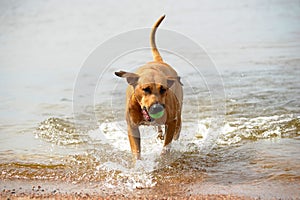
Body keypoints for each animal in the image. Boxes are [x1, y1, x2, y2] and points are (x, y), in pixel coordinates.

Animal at [115, 14, 183, 160]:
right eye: (145, 89)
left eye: (163, 89)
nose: (157, 107)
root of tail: (160, 61)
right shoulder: (132, 127)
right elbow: (136, 150)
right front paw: (138, 162)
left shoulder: (171, 121)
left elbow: (167, 145)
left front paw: (163, 157)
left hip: (179, 109)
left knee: (177, 127)